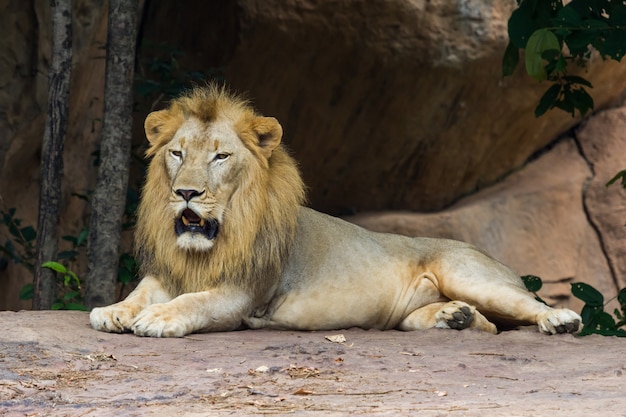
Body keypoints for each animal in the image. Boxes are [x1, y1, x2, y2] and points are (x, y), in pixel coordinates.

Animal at [90, 83, 584, 334]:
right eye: (177, 153)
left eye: (220, 157)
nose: (186, 193)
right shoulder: (168, 272)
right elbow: (140, 293)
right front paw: (114, 310)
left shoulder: (242, 292)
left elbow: (196, 302)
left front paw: (158, 318)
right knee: (487, 326)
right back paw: (454, 317)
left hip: (469, 273)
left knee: (525, 306)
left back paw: (558, 319)